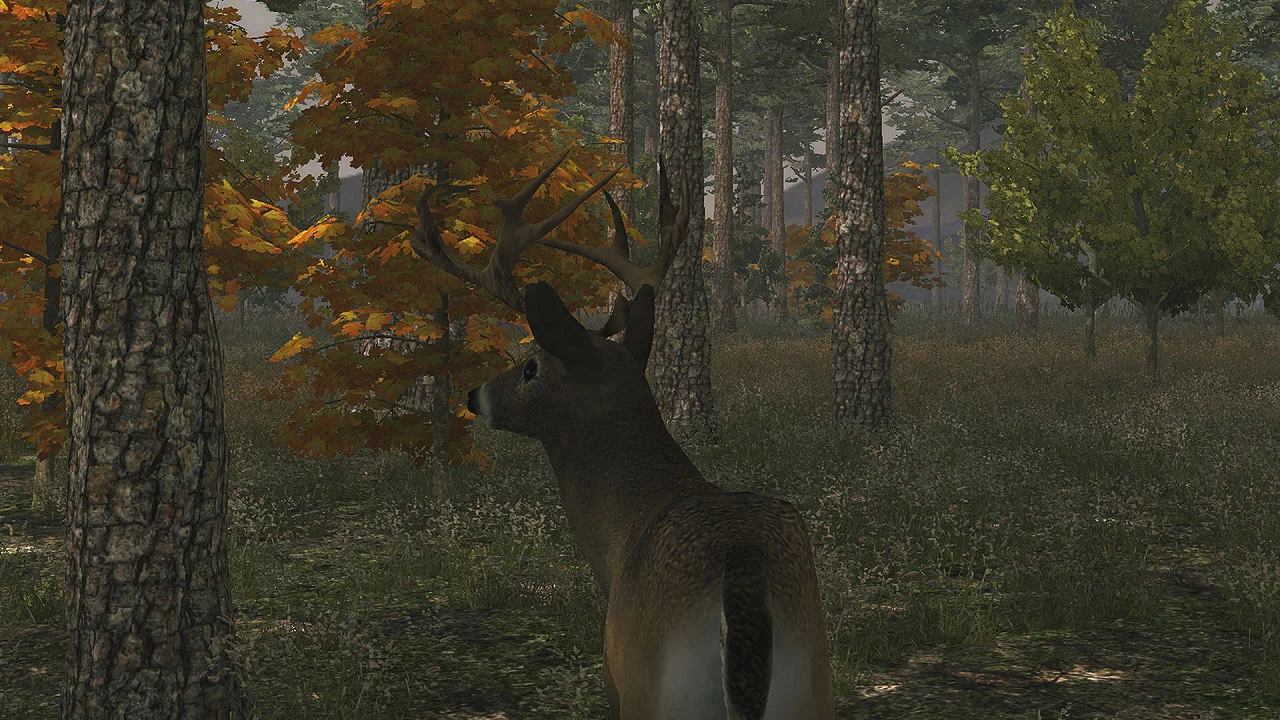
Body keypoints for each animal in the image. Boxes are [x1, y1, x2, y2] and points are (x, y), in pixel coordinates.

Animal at [409, 148, 834, 720]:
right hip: (812, 677)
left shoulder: (616, 676)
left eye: (530, 366)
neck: (617, 537)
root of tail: (742, 569)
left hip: (657, 688)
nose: (474, 396)